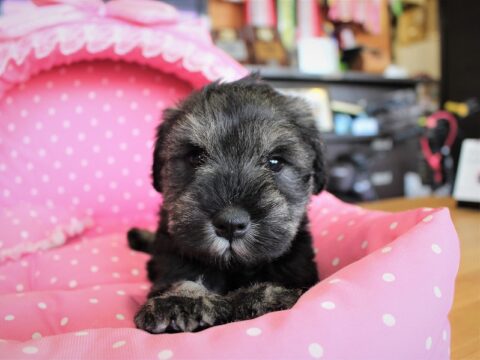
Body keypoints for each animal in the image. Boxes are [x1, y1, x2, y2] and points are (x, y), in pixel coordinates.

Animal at [129, 74, 328, 334]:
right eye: (196, 156)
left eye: (275, 161)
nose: (230, 224)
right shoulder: (173, 256)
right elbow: (181, 276)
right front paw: (180, 301)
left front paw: (264, 297)